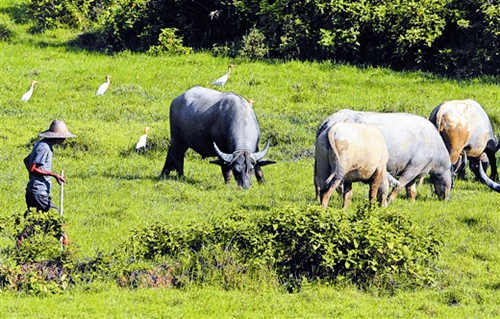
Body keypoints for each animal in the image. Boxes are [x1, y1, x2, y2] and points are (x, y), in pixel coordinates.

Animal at [316, 109, 454, 202]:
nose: (446, 199)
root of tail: (328, 121)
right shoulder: (414, 167)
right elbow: (400, 184)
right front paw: (389, 200)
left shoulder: (412, 169)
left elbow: (411, 189)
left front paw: (412, 201)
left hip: (321, 164)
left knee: (319, 183)